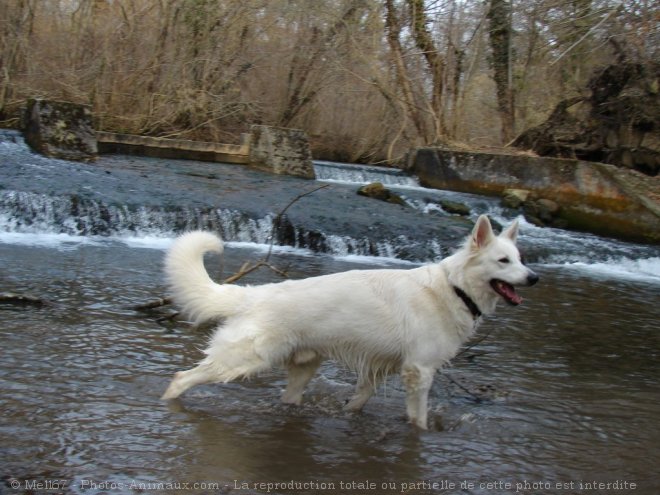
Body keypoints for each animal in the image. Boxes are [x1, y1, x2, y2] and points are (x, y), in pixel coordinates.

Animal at [162, 216, 540, 430]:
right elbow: (418, 419)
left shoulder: (382, 367)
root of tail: (252, 294)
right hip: (243, 361)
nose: (534, 278)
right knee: (182, 378)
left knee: (288, 398)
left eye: (521, 259)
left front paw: (349, 412)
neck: (454, 287)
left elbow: (361, 397)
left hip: (303, 368)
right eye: (503, 261)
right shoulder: (419, 371)